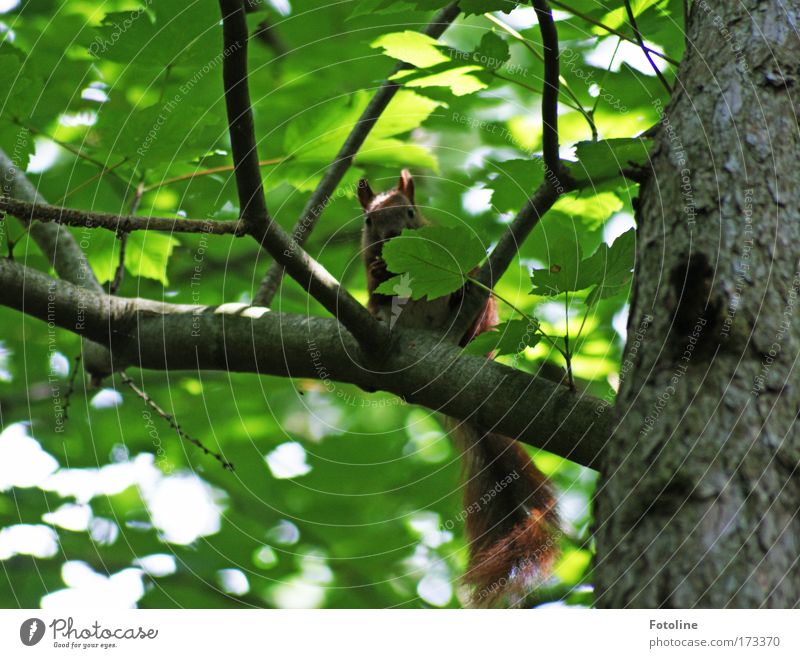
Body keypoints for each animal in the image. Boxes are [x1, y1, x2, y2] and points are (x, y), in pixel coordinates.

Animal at [360, 169, 560, 604]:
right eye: (368, 221)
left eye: (410, 211)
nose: (392, 235)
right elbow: (375, 281)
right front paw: (382, 266)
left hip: (480, 319)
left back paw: (461, 296)